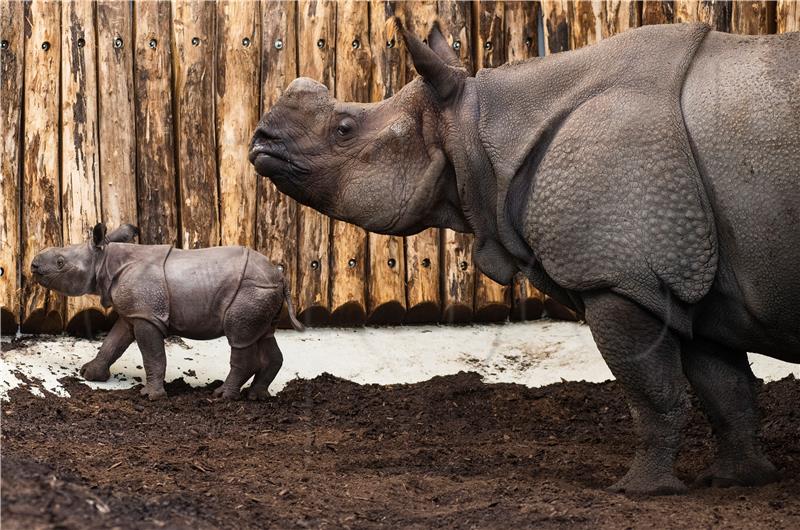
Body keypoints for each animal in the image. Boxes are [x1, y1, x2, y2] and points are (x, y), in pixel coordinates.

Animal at [29, 221, 302, 398]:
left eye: (60, 263)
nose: (33, 265)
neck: (105, 260)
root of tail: (280, 276)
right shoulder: (135, 312)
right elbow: (112, 343)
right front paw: (89, 374)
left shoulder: (147, 316)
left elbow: (153, 355)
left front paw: (151, 396)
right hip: (262, 292)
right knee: (263, 335)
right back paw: (257, 396)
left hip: (249, 291)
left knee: (239, 338)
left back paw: (222, 396)